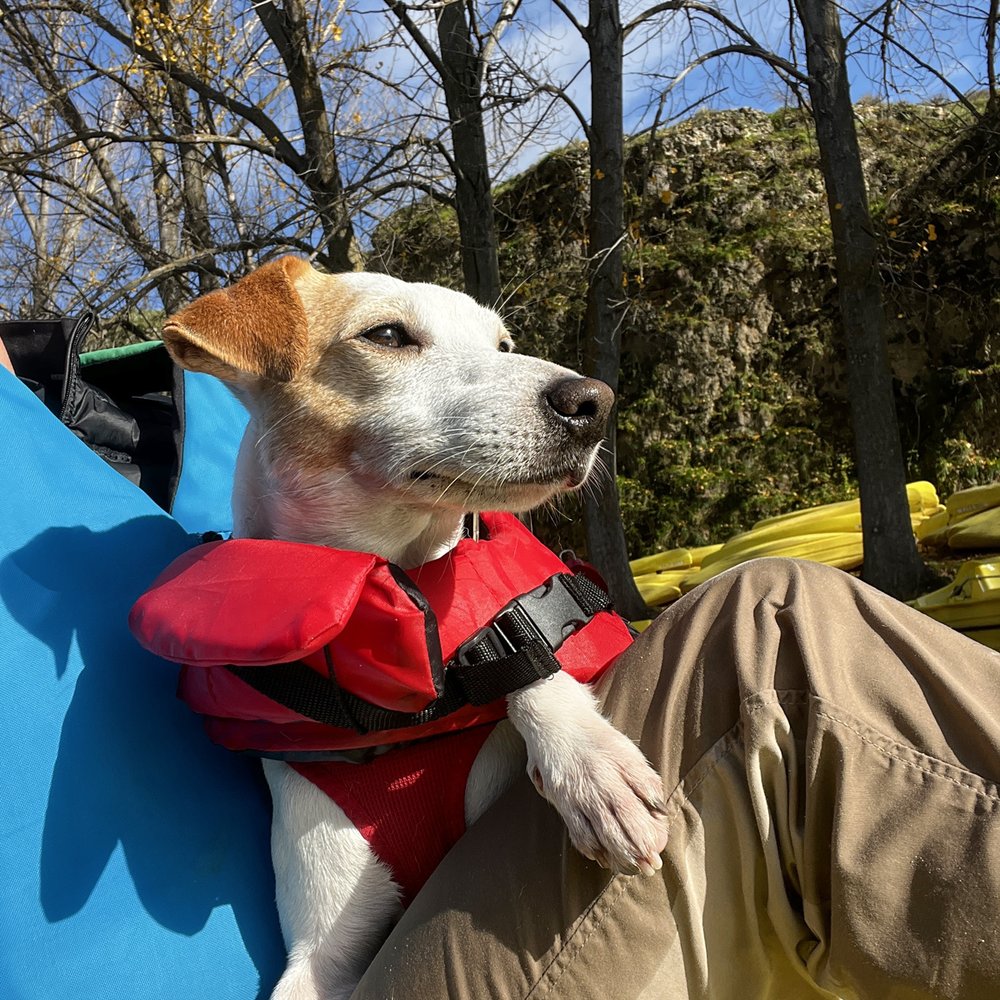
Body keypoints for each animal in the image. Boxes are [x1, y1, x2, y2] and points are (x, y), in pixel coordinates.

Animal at [158, 258, 672, 1000]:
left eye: (503, 344)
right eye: (387, 334)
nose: (592, 401)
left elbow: (518, 636)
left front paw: (589, 762)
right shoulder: (320, 959)